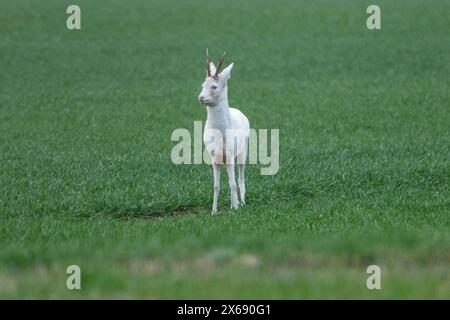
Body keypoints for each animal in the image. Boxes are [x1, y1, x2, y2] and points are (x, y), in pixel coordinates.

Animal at [198, 50, 251, 214]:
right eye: (203, 85)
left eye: (214, 86)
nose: (200, 97)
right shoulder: (214, 158)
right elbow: (216, 186)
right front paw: (213, 211)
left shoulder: (229, 156)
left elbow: (232, 183)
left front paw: (235, 208)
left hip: (242, 152)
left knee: (240, 179)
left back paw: (242, 203)